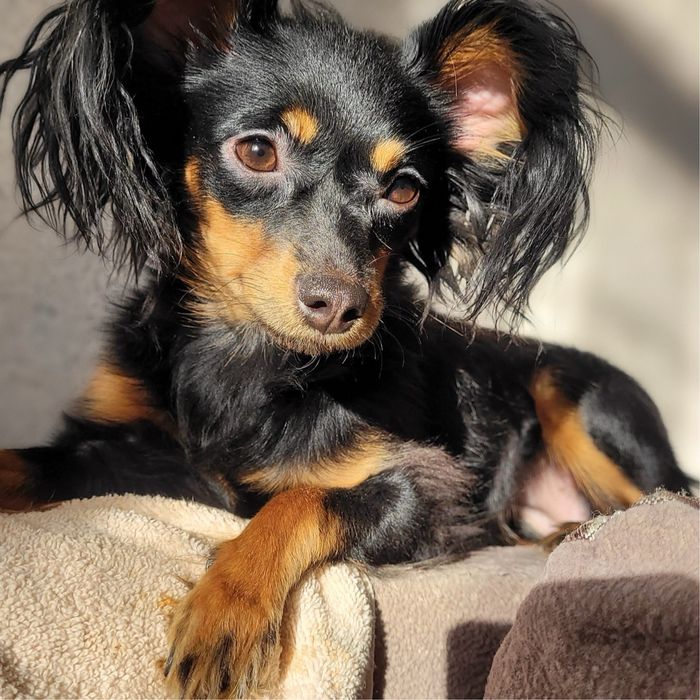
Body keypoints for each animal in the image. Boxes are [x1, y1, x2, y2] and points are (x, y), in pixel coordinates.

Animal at [0, 0, 690, 696]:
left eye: (405, 189)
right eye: (257, 150)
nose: (338, 306)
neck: (250, 356)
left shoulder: (429, 494)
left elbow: (298, 501)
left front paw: (225, 610)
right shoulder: (119, 442)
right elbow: (26, 462)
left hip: (576, 397)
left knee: (672, 498)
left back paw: (584, 531)